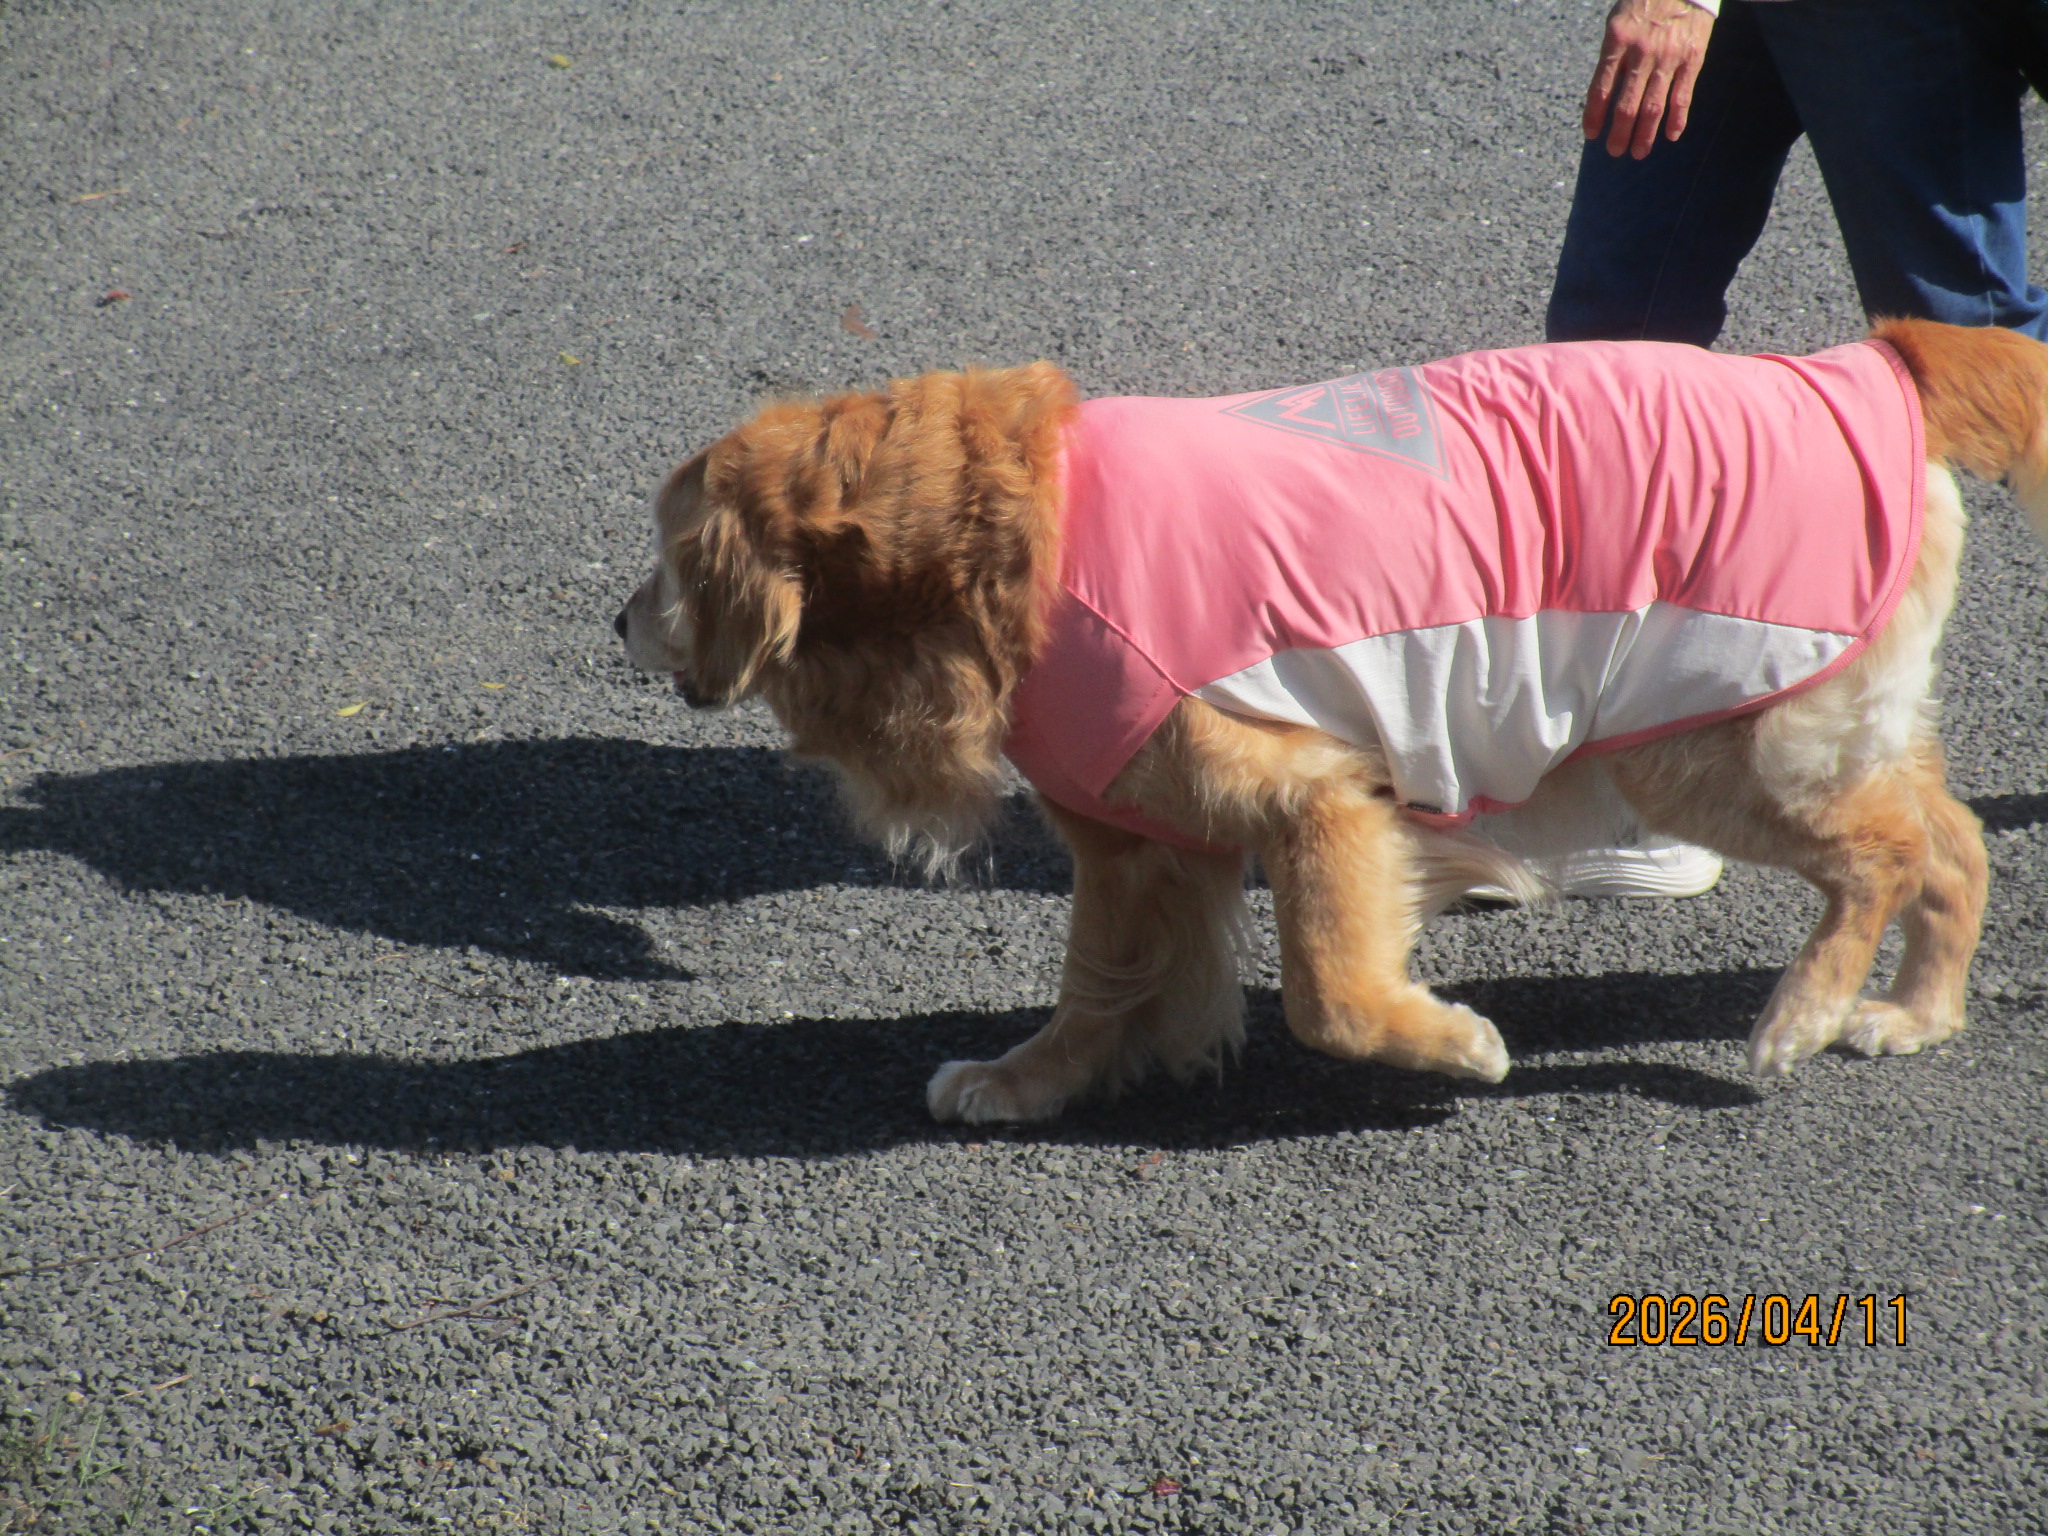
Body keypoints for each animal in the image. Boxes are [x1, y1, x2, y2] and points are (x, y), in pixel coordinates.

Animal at [619, 320, 2048, 1124]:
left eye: (671, 562)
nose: (615, 623)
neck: (996, 546)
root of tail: (1860, 366)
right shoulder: (1129, 837)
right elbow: (1096, 985)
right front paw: (1033, 1081)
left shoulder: (1312, 793)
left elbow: (1326, 993)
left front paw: (1443, 1044)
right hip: (1802, 728)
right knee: (1954, 841)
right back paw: (1914, 1011)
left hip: (1705, 736)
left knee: (1877, 858)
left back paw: (1802, 1008)